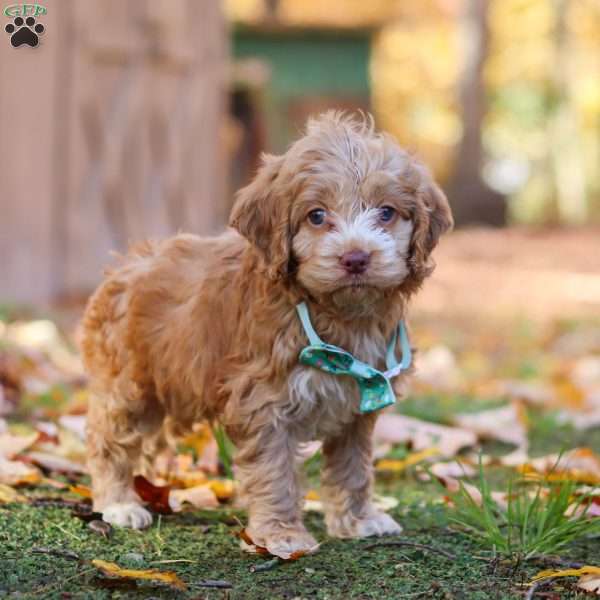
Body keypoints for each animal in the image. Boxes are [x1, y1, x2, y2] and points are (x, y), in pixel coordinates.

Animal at [81, 112, 450, 556]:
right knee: (109, 438)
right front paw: (281, 534)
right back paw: (119, 504)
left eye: (387, 212)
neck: (338, 314)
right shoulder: (264, 401)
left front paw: (358, 519)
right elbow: (276, 473)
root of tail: (124, 266)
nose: (356, 257)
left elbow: (353, 467)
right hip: (129, 384)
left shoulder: (358, 403)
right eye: (316, 216)